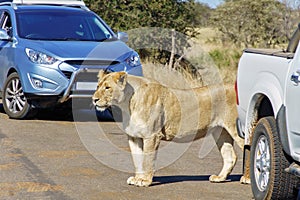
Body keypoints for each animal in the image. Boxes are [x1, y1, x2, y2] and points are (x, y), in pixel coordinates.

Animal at [92, 70, 250, 186]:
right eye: (97, 86)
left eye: (107, 87)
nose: (94, 99)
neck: (127, 105)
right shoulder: (134, 137)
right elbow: (137, 160)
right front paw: (137, 178)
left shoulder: (152, 135)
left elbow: (147, 159)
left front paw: (145, 181)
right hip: (220, 132)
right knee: (231, 156)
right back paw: (220, 178)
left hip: (238, 130)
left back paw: (247, 179)